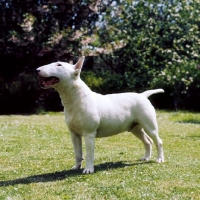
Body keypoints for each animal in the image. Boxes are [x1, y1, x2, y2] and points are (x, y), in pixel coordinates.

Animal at [36, 56, 164, 173]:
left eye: (59, 65)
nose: (37, 70)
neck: (75, 98)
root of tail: (143, 95)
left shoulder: (89, 134)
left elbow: (89, 153)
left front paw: (88, 169)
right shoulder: (74, 134)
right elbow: (77, 153)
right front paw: (76, 167)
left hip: (149, 125)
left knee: (158, 141)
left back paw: (159, 159)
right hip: (135, 128)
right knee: (147, 141)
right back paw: (146, 157)